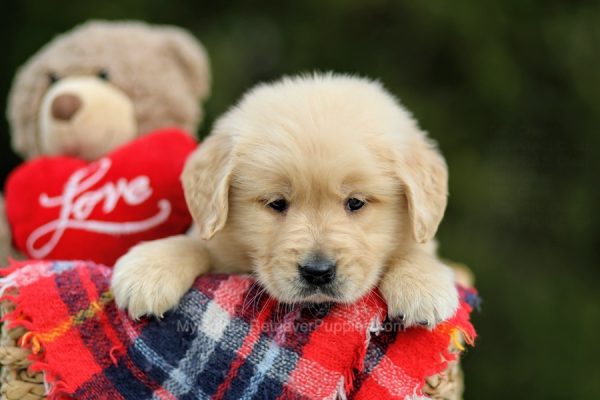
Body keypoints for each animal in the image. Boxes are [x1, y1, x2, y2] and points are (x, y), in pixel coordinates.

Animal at [111, 72, 460, 328]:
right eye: (276, 203)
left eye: (356, 203)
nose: (318, 272)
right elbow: (196, 244)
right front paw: (149, 269)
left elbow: (413, 250)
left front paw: (422, 284)